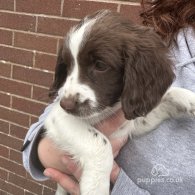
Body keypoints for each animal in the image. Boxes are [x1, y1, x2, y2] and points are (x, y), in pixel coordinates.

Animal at [43, 9, 195, 194]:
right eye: (67, 66)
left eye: (100, 65)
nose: (66, 105)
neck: (110, 108)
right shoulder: (59, 117)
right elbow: (101, 143)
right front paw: (96, 188)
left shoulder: (133, 122)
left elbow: (167, 96)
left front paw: (190, 100)